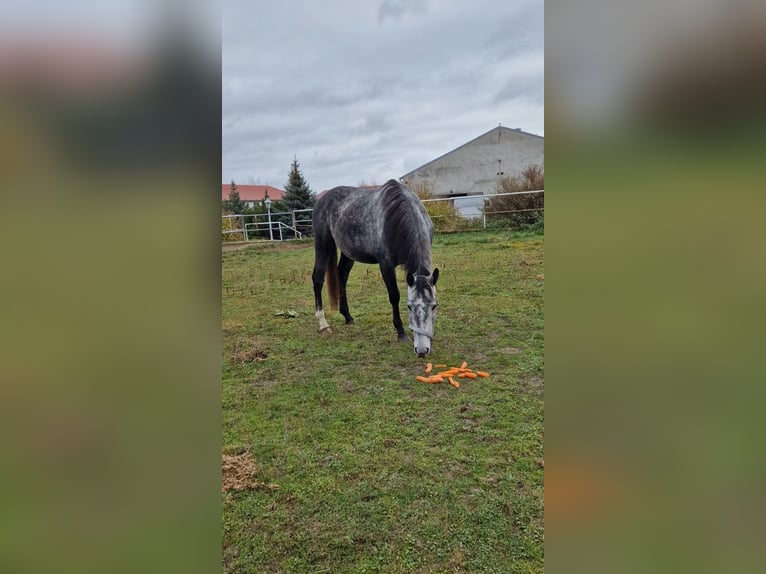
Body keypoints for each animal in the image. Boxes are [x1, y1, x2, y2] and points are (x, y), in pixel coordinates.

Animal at [312, 182, 440, 358]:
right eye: (409, 306)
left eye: (434, 306)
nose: (421, 350)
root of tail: (322, 200)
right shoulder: (385, 264)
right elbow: (394, 296)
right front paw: (401, 333)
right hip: (323, 245)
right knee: (317, 279)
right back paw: (323, 324)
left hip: (348, 252)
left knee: (342, 276)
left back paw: (347, 316)